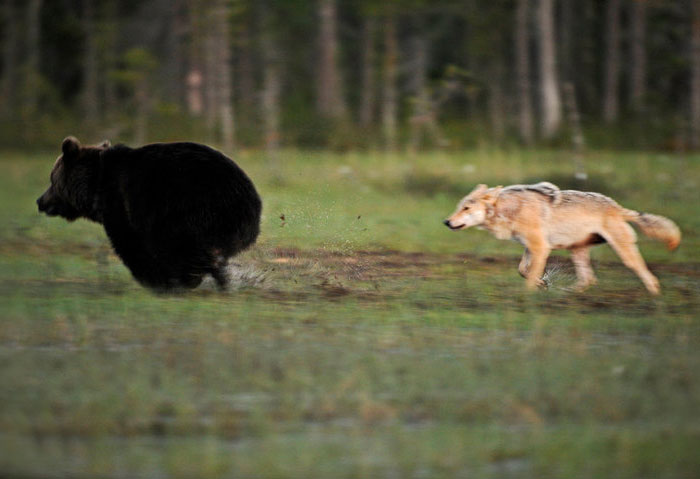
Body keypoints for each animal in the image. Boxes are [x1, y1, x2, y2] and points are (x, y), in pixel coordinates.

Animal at [37, 137, 262, 291]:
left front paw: (156, 280)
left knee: (180, 246)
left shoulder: (122, 203)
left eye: (51, 179)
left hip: (188, 209)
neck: (95, 186)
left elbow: (131, 244)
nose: (40, 201)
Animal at [443, 182, 681, 294]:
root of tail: (618, 207)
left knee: (650, 277)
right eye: (458, 207)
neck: (508, 210)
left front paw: (527, 297)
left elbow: (528, 277)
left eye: (466, 208)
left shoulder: (540, 247)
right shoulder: (532, 247)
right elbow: (523, 270)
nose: (446, 222)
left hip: (623, 254)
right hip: (576, 251)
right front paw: (542, 284)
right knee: (588, 280)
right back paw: (565, 294)